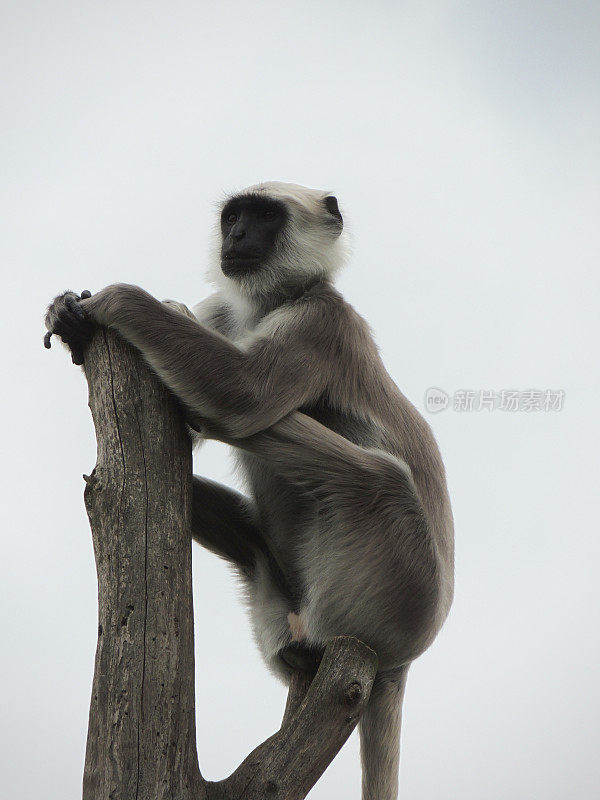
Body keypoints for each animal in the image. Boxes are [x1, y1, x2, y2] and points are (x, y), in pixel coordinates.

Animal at [43, 181, 454, 800]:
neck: (270, 304)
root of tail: (399, 661)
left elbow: (241, 395)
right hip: (279, 597)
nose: (236, 236)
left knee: (378, 477)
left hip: (398, 592)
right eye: (234, 216)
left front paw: (116, 302)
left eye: (263, 216)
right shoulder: (225, 313)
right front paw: (72, 317)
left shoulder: (320, 319)